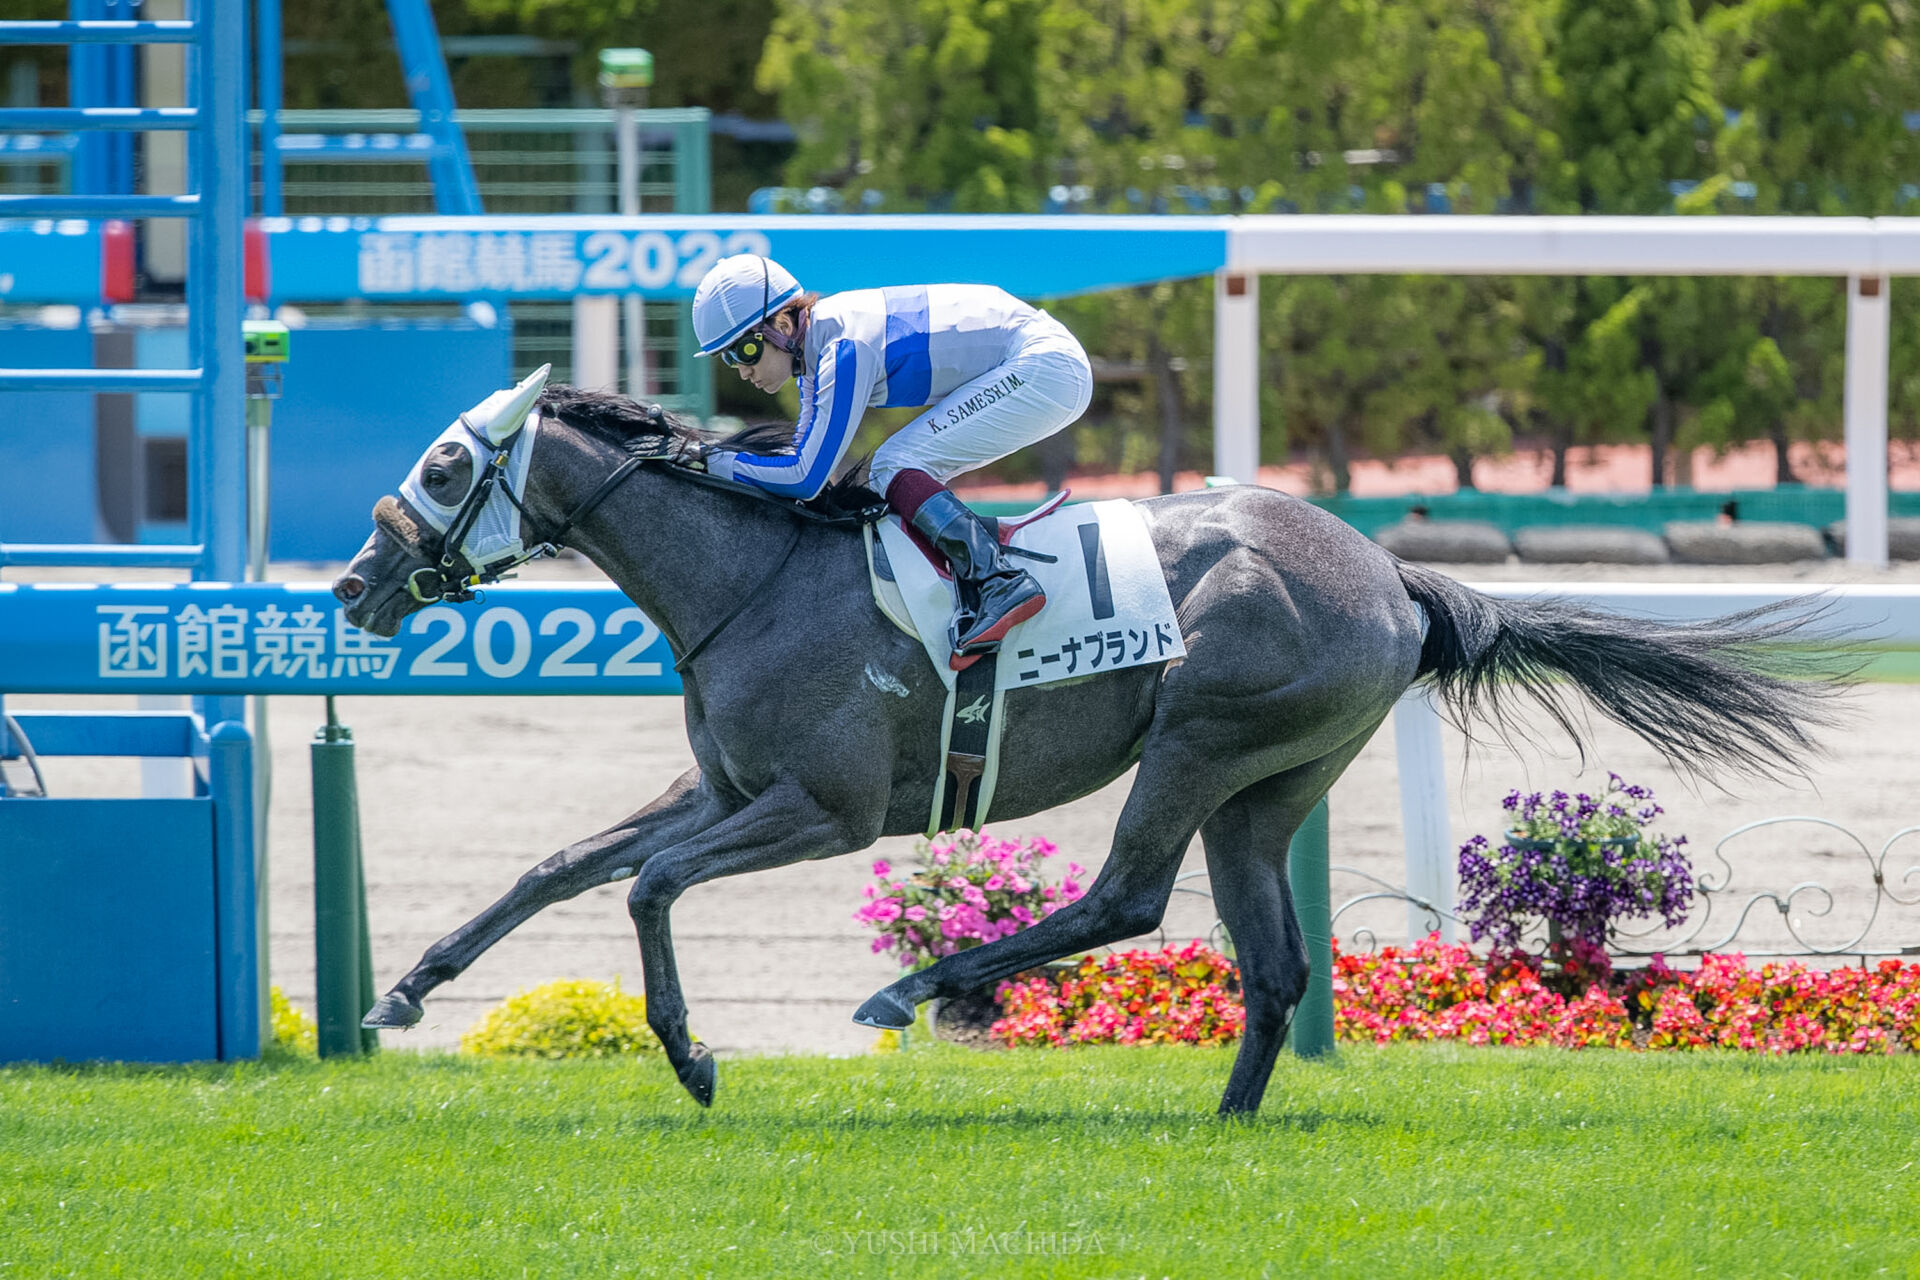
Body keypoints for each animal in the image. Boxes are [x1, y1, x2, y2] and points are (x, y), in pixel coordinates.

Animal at [334, 385, 1843, 1113]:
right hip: (1267, 784)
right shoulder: (723, 787)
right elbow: (559, 866)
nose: (355, 583)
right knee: (1272, 964)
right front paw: (403, 992)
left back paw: (917, 991)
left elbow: (645, 886)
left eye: (450, 470)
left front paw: (694, 1057)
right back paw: (1227, 1116)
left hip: (1201, 737)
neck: (751, 575)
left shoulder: (824, 809)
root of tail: (1393, 572)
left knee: (1123, 897)